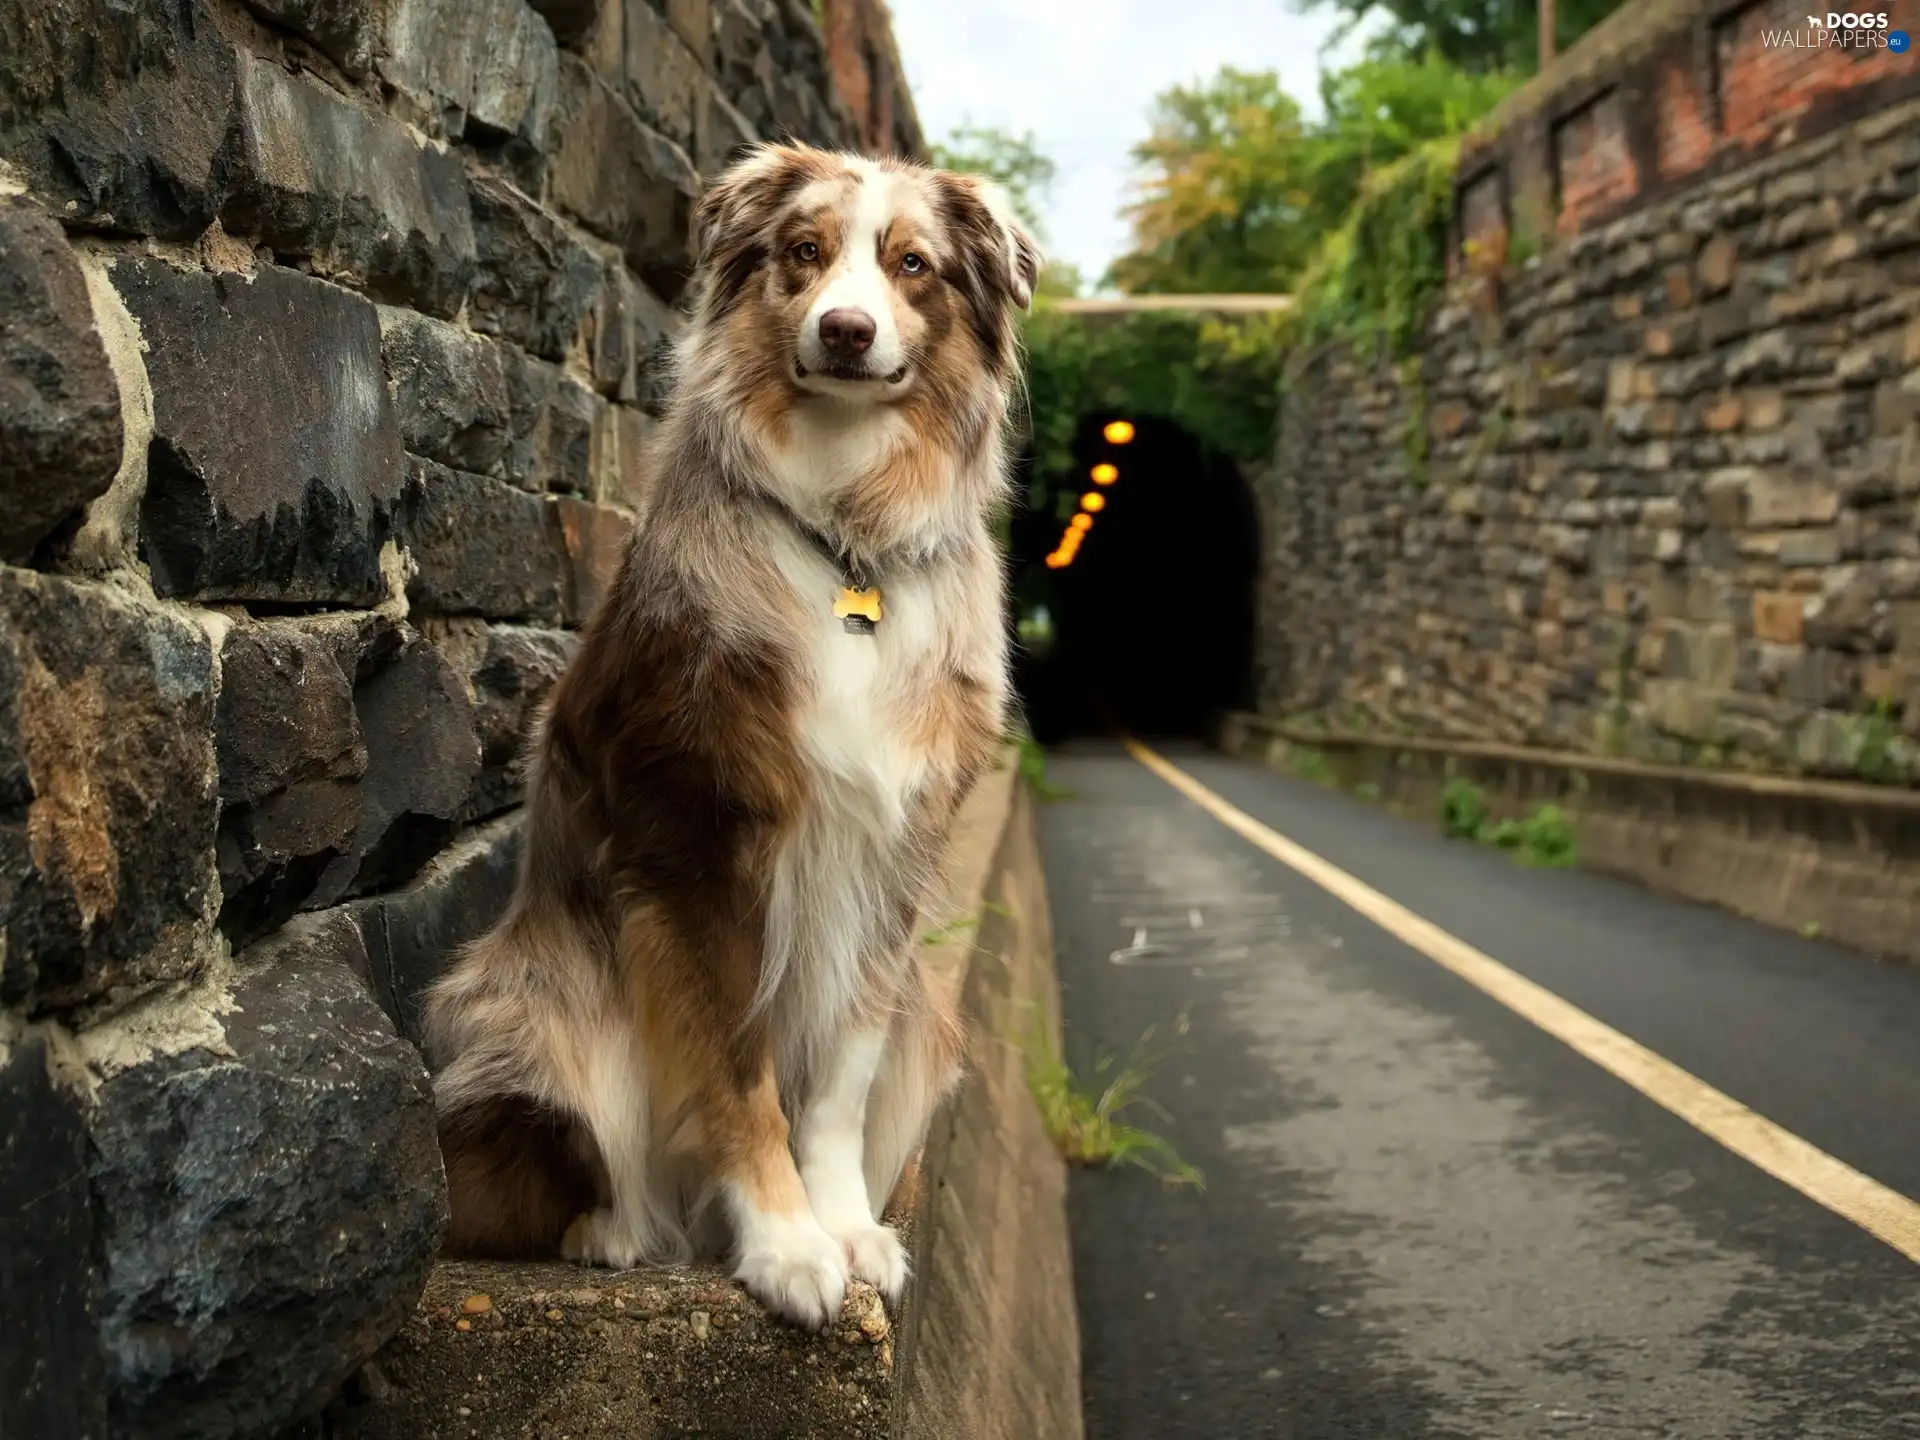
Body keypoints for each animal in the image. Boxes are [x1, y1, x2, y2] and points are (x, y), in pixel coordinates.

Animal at [422, 141, 1044, 1336]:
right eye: (803, 252)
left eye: (913, 265)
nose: (845, 329)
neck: (845, 532)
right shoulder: (693, 841)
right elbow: (733, 1066)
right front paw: (786, 1244)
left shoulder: (890, 859)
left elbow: (837, 1077)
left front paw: (844, 1227)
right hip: (535, 1003)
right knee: (533, 1179)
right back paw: (614, 1232)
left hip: (931, 1023)